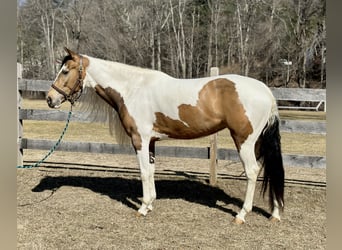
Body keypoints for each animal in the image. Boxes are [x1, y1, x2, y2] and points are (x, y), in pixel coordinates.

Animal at [46, 47, 284, 225]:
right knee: (269, 171)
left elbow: (143, 173)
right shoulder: (151, 142)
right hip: (258, 142)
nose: (50, 99)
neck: (132, 89)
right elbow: (151, 171)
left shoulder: (139, 140)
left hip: (244, 141)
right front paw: (150, 203)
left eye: (65, 71)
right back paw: (275, 213)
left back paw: (241, 215)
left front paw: (142, 208)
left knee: (252, 171)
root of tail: (265, 91)